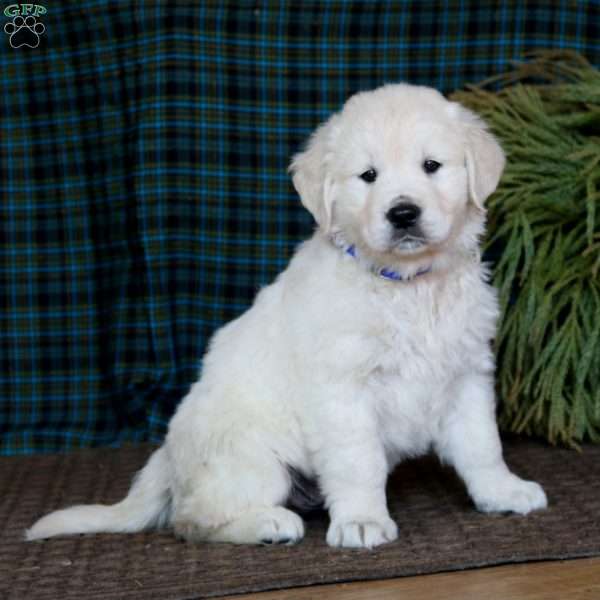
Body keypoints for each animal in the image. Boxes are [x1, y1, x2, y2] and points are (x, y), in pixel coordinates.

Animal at [28, 83, 548, 548]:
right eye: (368, 176)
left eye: (432, 166)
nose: (403, 213)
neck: (406, 285)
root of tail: (168, 458)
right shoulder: (342, 389)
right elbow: (358, 462)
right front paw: (362, 521)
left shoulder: (466, 373)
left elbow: (482, 444)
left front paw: (503, 492)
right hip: (252, 459)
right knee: (192, 519)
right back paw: (268, 524)